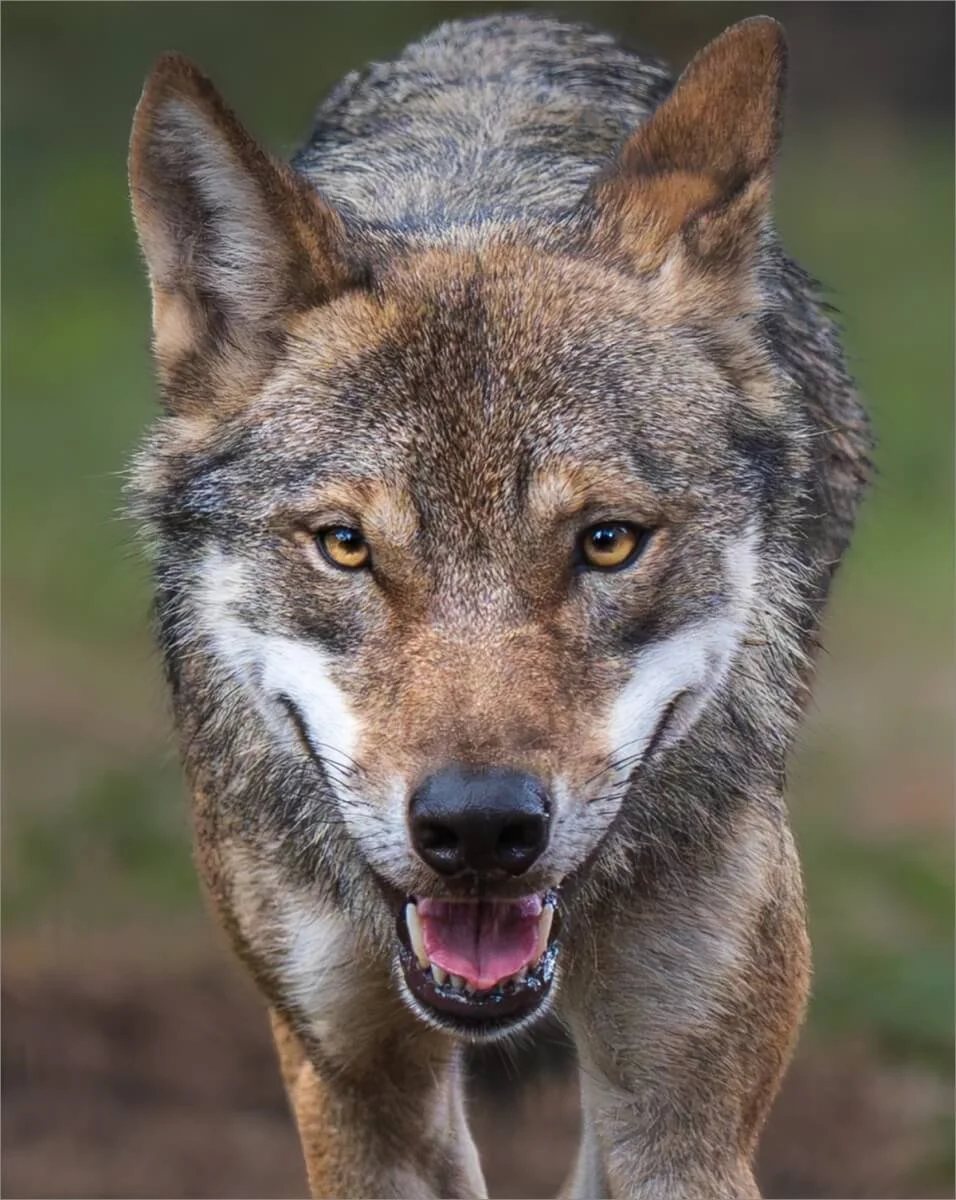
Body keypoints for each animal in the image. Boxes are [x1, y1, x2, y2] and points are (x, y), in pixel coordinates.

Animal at [128, 12, 871, 1199]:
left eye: (606, 542)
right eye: (345, 546)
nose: (479, 826)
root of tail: (506, 27)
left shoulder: (685, 1116)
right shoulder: (356, 1089)